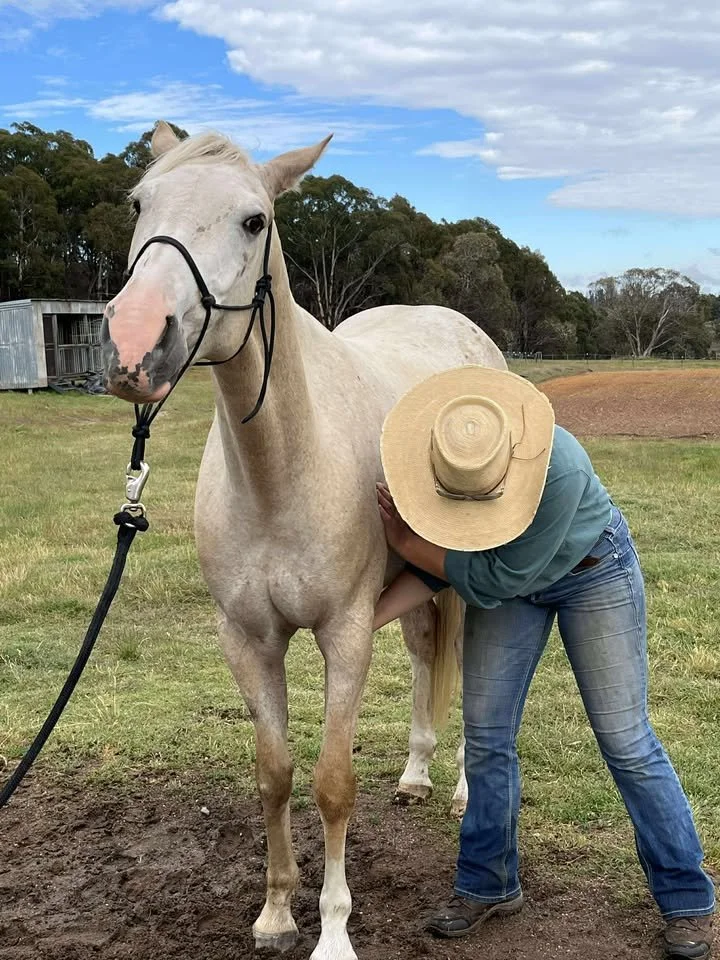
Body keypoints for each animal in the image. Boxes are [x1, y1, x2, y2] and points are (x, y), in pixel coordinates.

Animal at [101, 121, 506, 960]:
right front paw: (277, 911)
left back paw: (458, 788)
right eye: (139, 203)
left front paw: (333, 932)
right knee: (426, 653)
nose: (133, 340)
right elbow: (276, 772)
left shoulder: (344, 634)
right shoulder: (248, 639)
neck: (281, 472)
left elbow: (331, 783)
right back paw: (416, 775)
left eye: (255, 220)